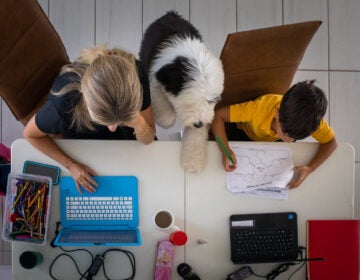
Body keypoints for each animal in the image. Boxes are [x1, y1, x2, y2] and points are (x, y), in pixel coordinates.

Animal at [139, 11, 224, 173]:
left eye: (210, 101)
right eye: (188, 101)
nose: (198, 123)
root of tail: (171, 13)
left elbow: (197, 135)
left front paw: (193, 162)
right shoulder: (156, 73)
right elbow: (158, 98)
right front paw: (166, 118)